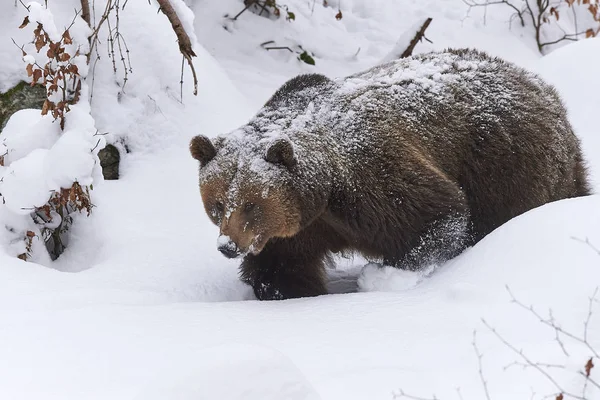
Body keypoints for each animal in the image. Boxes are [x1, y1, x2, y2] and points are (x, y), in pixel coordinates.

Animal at [191, 48, 592, 300]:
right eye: (217, 204)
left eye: (252, 204)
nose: (228, 246)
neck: (323, 193)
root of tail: (539, 84)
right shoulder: (294, 229)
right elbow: (281, 268)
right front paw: (289, 292)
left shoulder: (371, 177)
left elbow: (436, 214)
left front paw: (384, 278)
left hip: (509, 165)